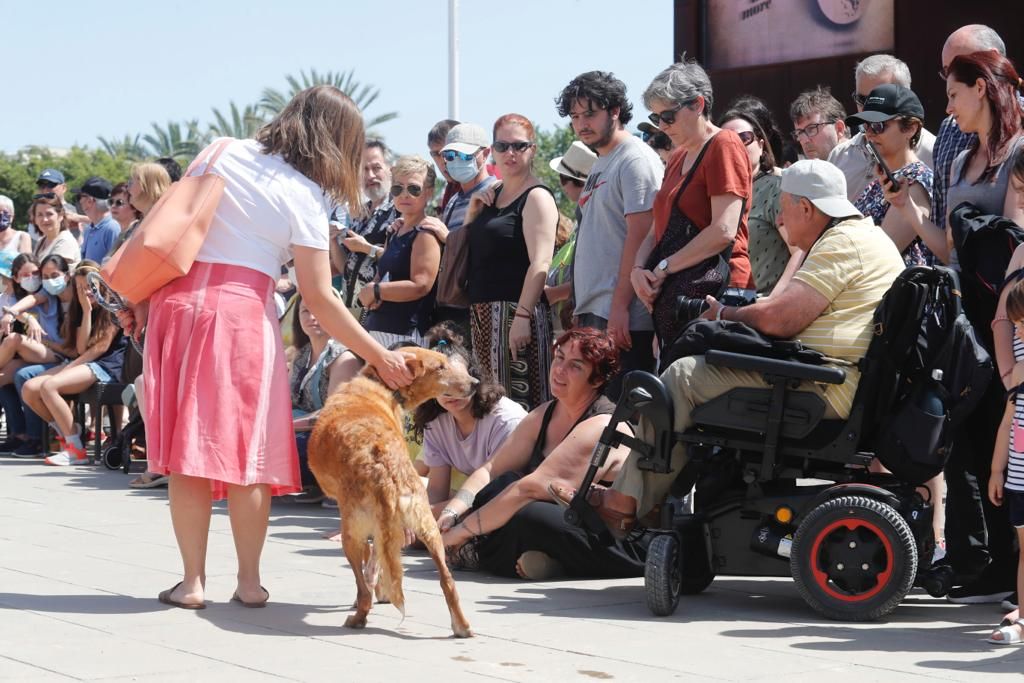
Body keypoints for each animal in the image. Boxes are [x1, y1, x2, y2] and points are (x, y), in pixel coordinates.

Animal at [307, 350, 475, 638]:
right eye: (441, 366)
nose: (475, 383)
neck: (380, 386)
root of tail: (386, 466)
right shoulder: (388, 527)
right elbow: (381, 560)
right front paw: (383, 589)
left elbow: (369, 567)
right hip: (428, 525)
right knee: (447, 581)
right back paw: (462, 626)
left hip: (351, 533)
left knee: (363, 590)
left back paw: (358, 618)